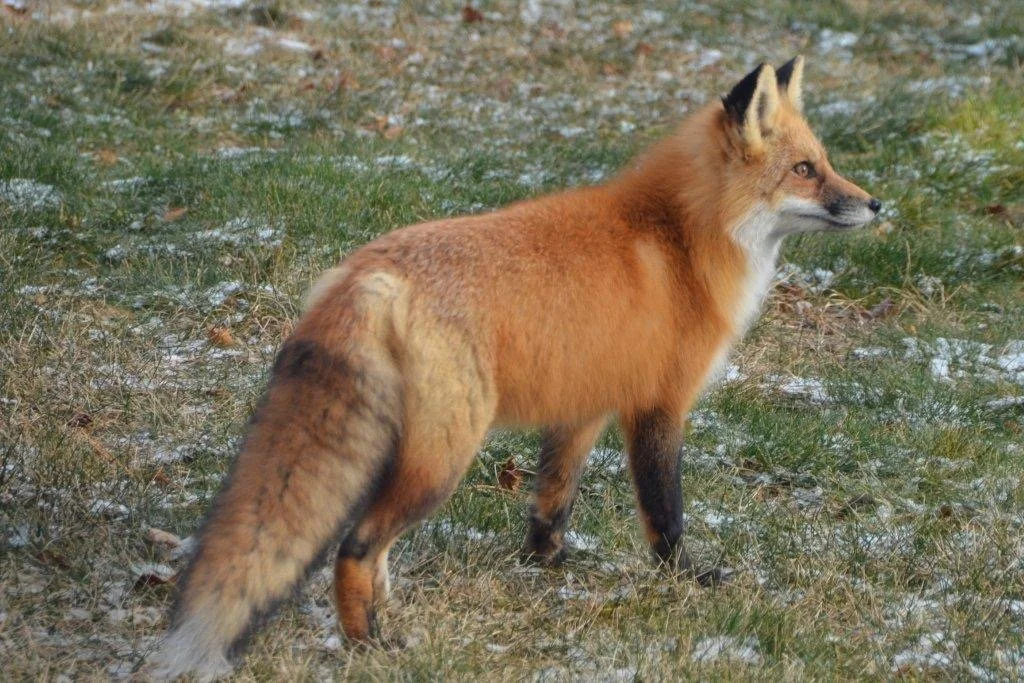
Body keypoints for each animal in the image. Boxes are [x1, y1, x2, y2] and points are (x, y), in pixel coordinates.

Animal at [155, 56, 880, 679]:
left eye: (826, 164)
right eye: (805, 170)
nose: (876, 205)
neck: (679, 239)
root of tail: (366, 275)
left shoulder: (584, 405)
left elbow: (552, 499)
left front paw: (545, 566)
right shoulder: (657, 405)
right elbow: (665, 512)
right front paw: (686, 579)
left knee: (374, 548)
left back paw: (392, 619)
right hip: (444, 459)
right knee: (355, 547)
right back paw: (368, 645)